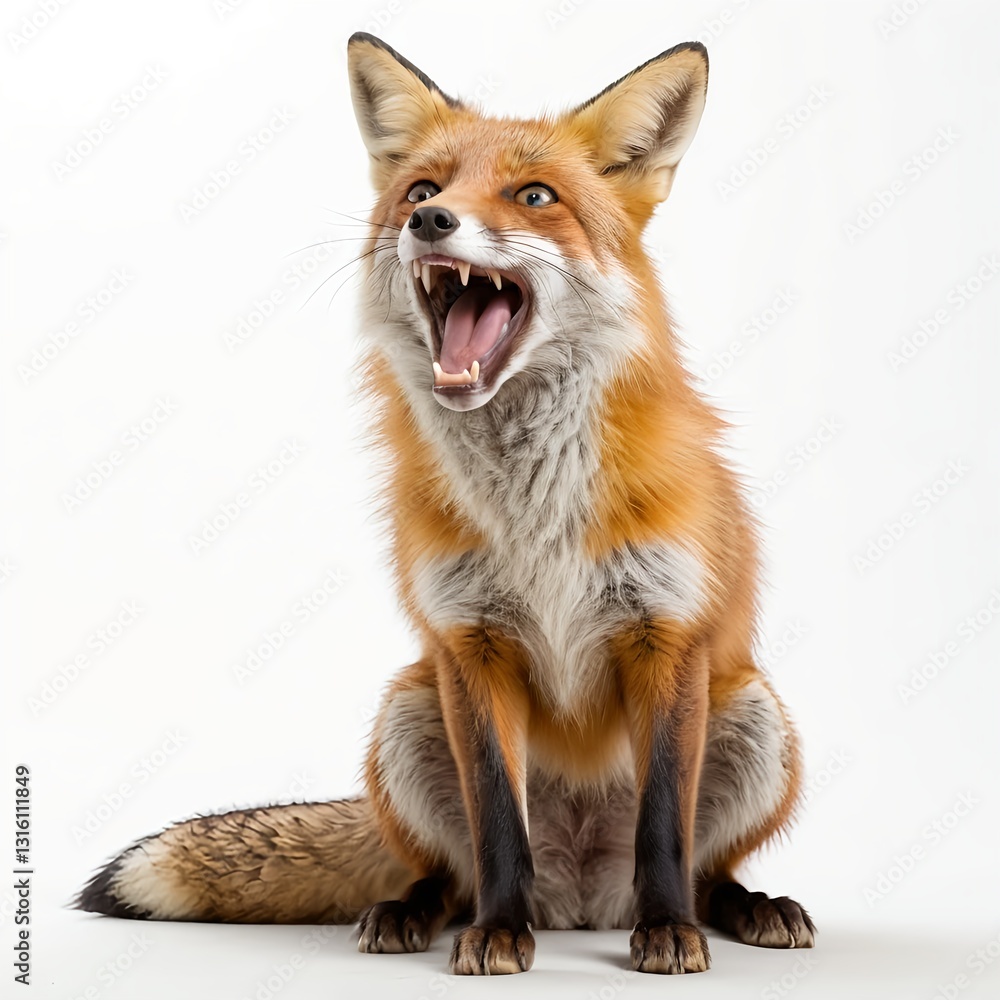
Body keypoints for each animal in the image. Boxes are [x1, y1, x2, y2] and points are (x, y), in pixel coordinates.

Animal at [76, 33, 816, 976]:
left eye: (534, 196)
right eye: (423, 191)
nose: (430, 224)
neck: (535, 517)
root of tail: (582, 898)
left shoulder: (667, 634)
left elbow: (665, 828)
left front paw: (668, 930)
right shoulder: (472, 645)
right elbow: (498, 819)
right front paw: (498, 932)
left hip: (757, 717)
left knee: (708, 863)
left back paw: (741, 906)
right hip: (407, 711)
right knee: (451, 871)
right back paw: (421, 912)